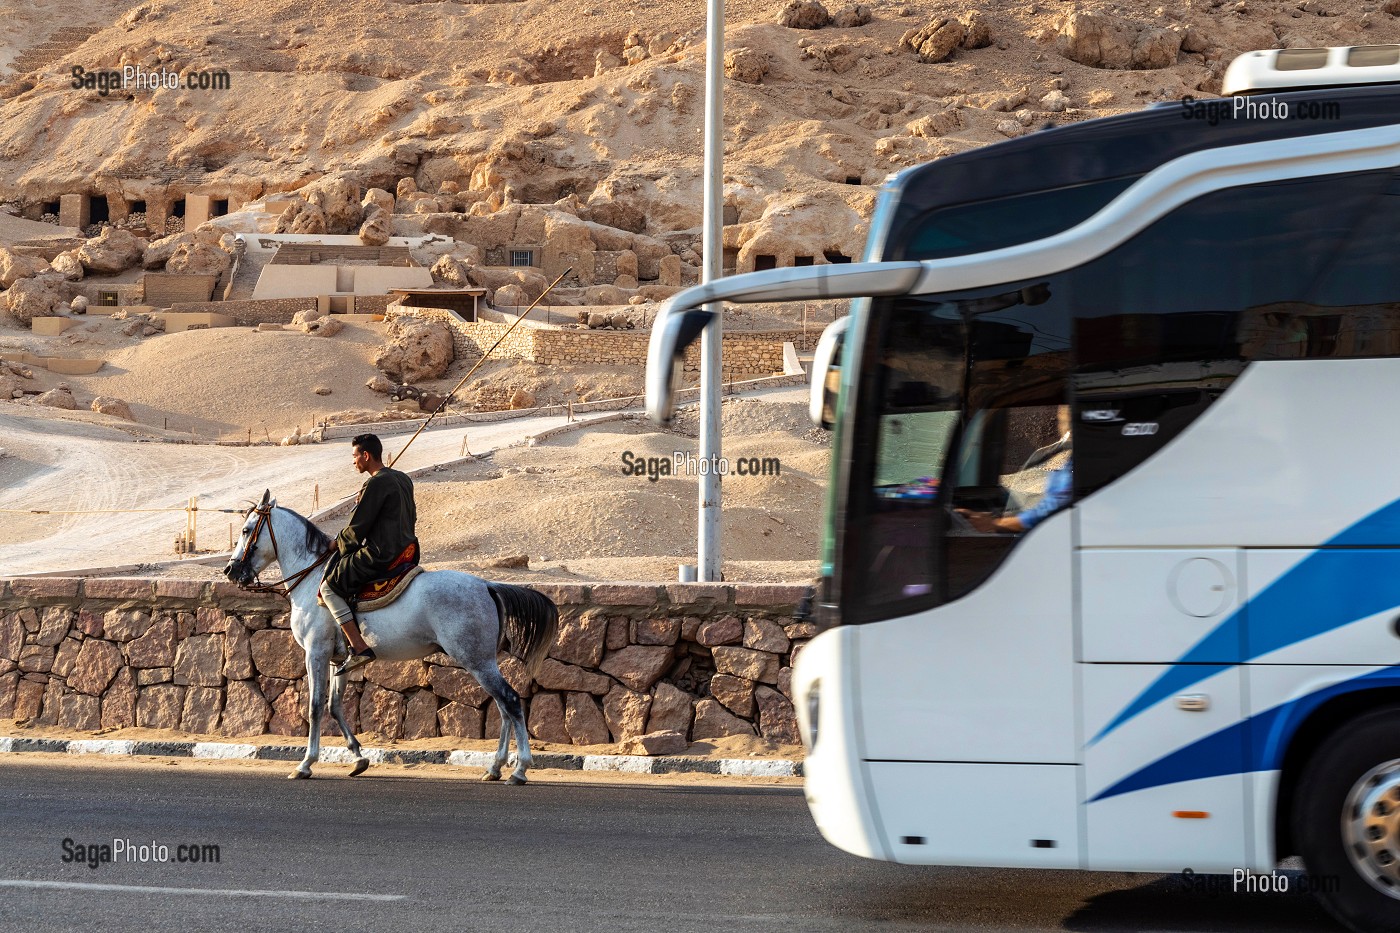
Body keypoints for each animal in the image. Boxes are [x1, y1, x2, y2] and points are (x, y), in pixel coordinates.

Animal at [221, 490, 554, 778]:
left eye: (246, 530)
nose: (230, 570)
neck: (312, 576)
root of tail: (486, 585)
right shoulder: (339, 661)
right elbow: (334, 706)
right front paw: (358, 757)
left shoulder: (315, 653)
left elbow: (315, 707)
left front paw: (306, 763)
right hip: (482, 661)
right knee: (503, 707)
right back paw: (496, 767)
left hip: (476, 661)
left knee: (510, 701)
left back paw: (520, 769)